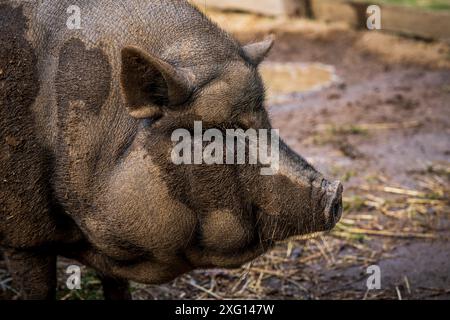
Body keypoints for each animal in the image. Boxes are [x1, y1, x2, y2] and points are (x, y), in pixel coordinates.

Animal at [0, 0, 342, 300]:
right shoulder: (24, 237)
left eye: (264, 117)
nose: (336, 191)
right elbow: (39, 286)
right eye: (218, 129)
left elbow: (116, 285)